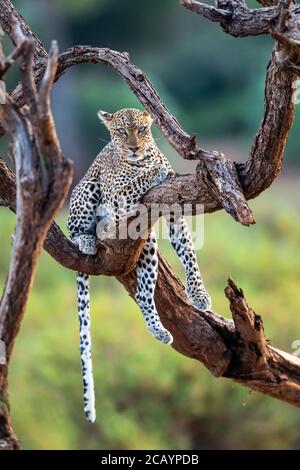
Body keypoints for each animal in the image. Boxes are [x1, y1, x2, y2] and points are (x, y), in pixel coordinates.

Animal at [67, 108, 211, 424]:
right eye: (122, 132)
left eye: (143, 130)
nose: (134, 148)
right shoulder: (117, 198)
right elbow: (134, 183)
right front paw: (154, 172)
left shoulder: (174, 213)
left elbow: (189, 252)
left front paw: (199, 294)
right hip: (87, 191)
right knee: (76, 230)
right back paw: (87, 240)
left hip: (148, 247)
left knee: (145, 296)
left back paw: (159, 331)